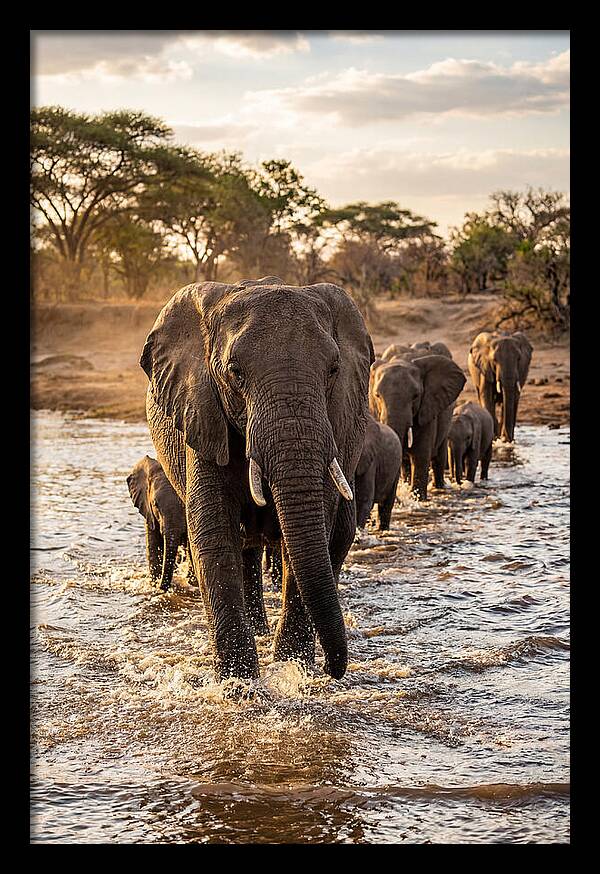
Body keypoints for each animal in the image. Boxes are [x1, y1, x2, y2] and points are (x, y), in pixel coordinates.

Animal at [127, 455, 197, 591]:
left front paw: (192, 582)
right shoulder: (148, 511)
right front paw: (154, 584)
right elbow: (153, 546)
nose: (161, 587)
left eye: (185, 505)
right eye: (155, 504)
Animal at [140, 276, 373, 682]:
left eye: (333, 370)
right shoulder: (202, 411)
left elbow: (312, 532)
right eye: (235, 372)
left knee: (334, 538)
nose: (334, 669)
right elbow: (214, 533)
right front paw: (239, 684)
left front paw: (294, 670)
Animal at [369, 342, 466, 501]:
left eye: (415, 396)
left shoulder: (428, 407)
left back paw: (439, 488)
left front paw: (418, 499)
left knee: (439, 454)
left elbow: (420, 457)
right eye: (377, 395)